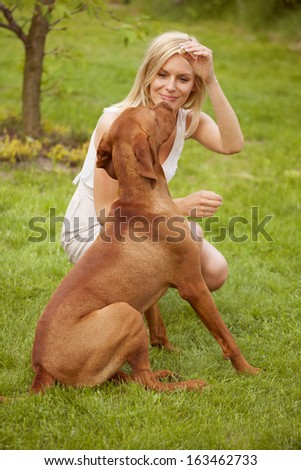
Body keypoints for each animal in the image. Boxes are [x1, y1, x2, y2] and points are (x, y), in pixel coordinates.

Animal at [31, 103, 258, 392]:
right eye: (151, 112)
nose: (168, 104)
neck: (142, 196)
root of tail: (41, 369)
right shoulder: (193, 285)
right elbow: (226, 336)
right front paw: (248, 370)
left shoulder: (152, 289)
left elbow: (158, 325)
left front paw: (167, 348)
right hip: (125, 311)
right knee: (146, 382)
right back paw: (190, 383)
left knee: (132, 377)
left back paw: (162, 372)